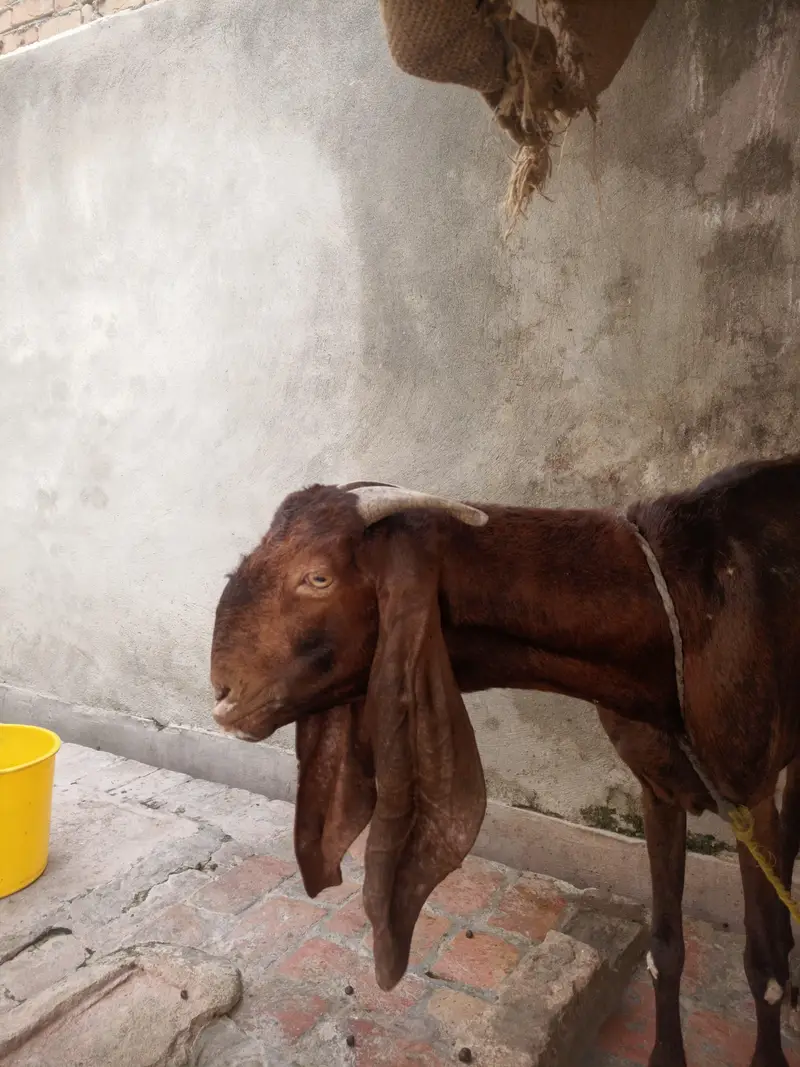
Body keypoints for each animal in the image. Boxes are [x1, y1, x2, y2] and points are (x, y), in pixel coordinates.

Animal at [211, 458, 800, 1067]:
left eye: (318, 578)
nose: (226, 694)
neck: (676, 611)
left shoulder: (748, 796)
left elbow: (763, 968)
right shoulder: (656, 788)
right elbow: (665, 948)